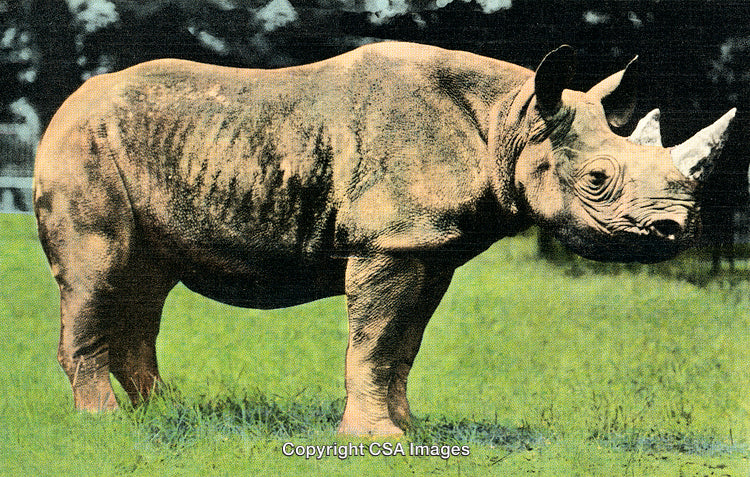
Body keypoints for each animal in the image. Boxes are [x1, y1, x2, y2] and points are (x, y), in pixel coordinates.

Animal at [34, 41, 735, 436]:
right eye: (596, 179)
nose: (677, 229)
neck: (509, 120)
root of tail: (63, 105)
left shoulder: (428, 245)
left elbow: (403, 343)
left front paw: (409, 430)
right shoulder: (389, 242)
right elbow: (374, 339)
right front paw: (376, 441)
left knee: (144, 286)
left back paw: (165, 416)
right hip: (83, 146)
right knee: (100, 270)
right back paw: (104, 426)